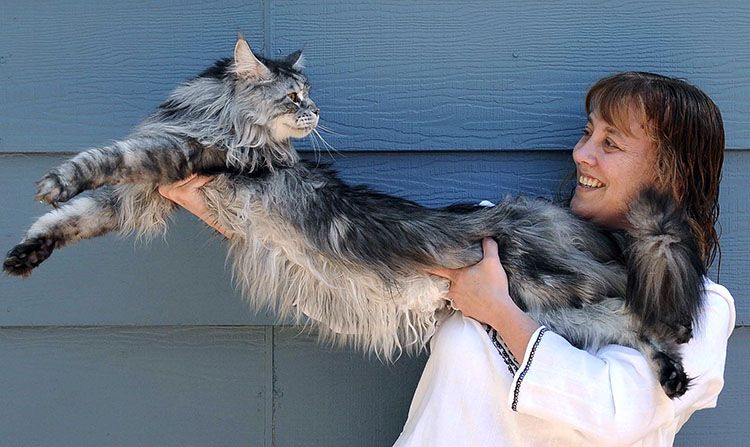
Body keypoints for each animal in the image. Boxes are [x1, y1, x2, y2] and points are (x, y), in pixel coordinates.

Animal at [2, 36, 708, 400]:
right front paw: (25, 253)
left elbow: (105, 159)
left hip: (559, 290)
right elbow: (74, 219)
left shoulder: (182, 158)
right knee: (641, 330)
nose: (315, 113)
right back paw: (674, 377)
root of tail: (551, 217)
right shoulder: (142, 195)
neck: (215, 115)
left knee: (653, 311)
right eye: (295, 96)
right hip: (563, 316)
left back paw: (678, 365)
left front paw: (52, 179)